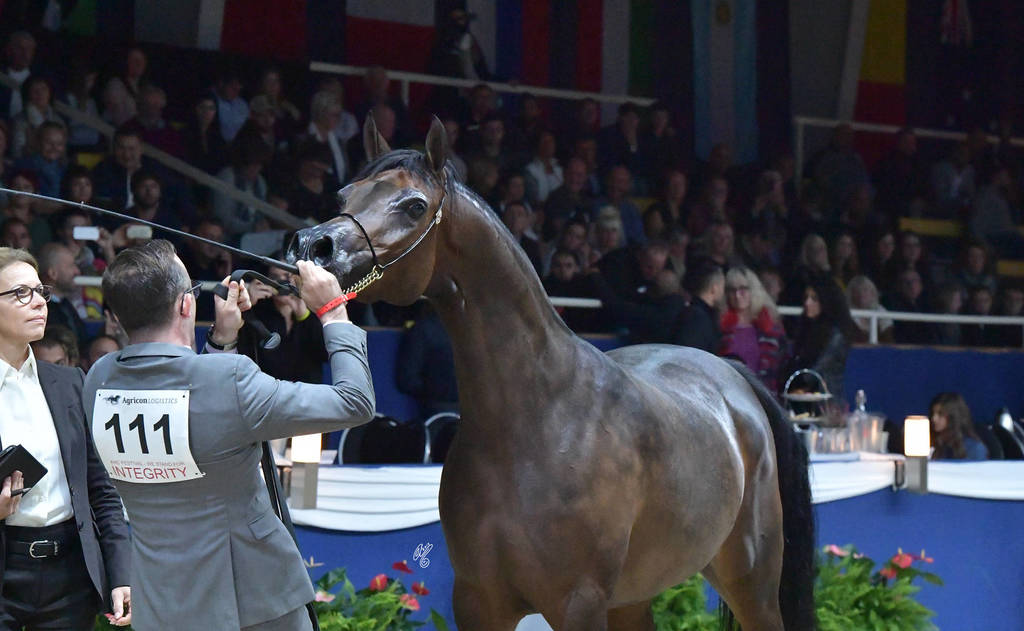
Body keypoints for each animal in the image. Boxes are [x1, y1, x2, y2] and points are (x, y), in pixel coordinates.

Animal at [287, 117, 816, 631]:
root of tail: (732, 377)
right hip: (634, 597)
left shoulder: (577, 603)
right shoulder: (478, 603)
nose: (313, 246)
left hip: (751, 583)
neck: (537, 419)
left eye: (414, 205)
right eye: (345, 195)